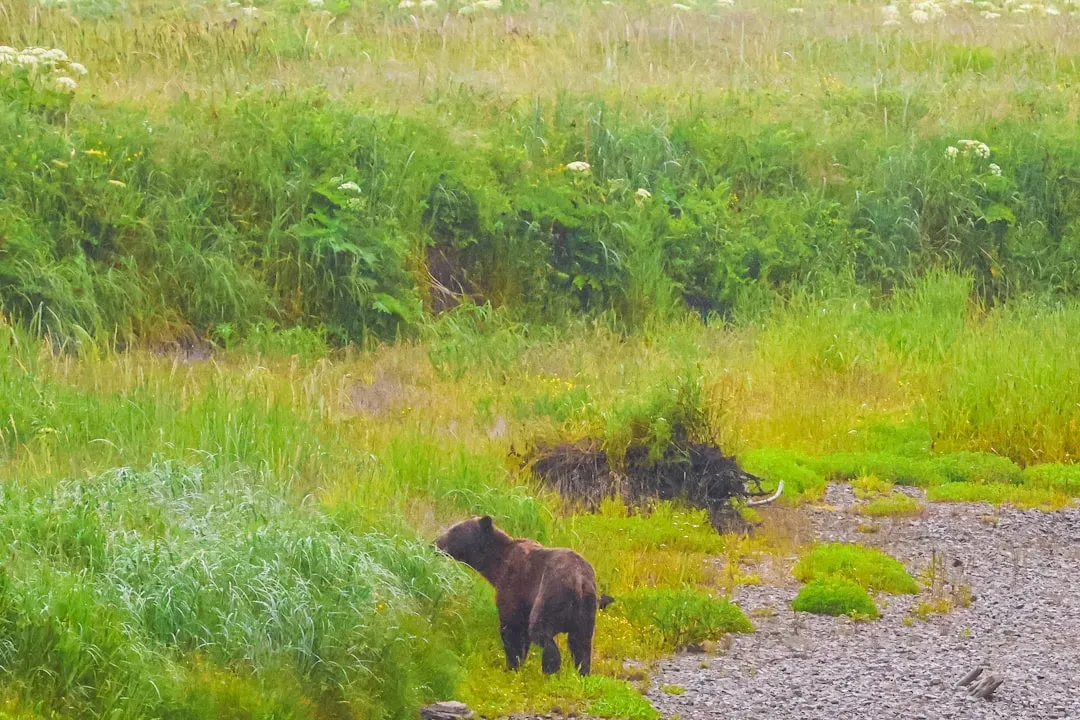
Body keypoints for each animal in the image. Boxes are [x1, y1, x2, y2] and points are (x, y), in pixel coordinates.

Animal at [434, 515, 606, 676]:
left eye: (454, 530)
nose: (435, 544)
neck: (497, 566)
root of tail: (580, 581)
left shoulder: (515, 586)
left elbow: (512, 629)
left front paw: (511, 666)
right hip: (586, 611)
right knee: (582, 644)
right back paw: (582, 672)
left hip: (550, 595)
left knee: (541, 632)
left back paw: (549, 670)